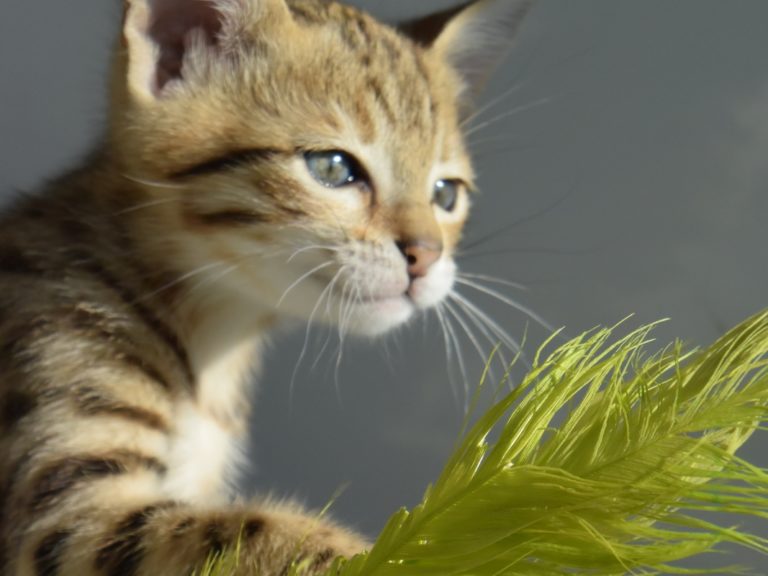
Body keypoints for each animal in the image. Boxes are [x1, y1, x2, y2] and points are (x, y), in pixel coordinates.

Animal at [0, 0, 532, 574]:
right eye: (333, 167)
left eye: (445, 194)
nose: (427, 256)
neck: (213, 342)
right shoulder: (62, 522)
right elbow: (252, 530)